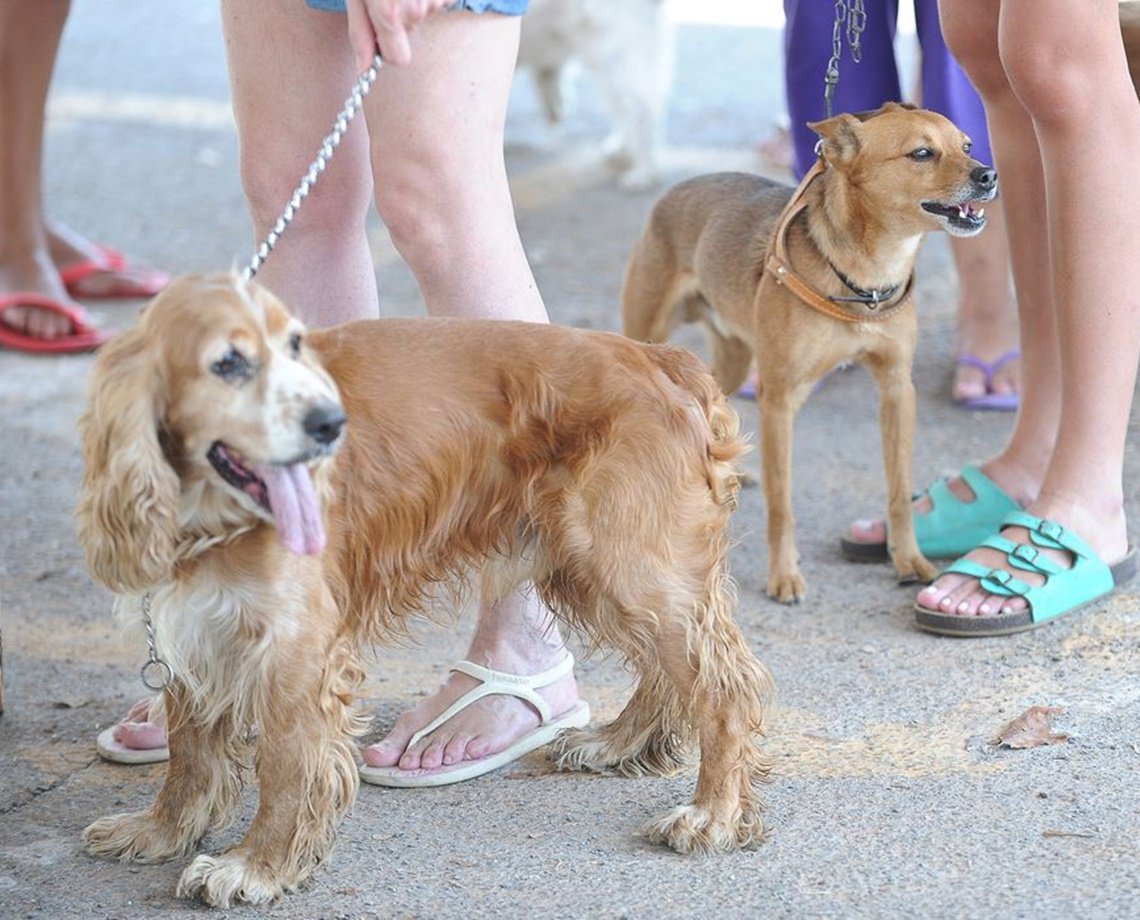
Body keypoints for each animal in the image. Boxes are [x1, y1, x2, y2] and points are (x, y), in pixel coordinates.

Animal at [78, 273, 775, 907]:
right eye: (227, 362)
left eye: (295, 346)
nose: (332, 424)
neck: (209, 513)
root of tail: (660, 358)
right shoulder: (198, 627)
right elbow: (189, 754)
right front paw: (160, 830)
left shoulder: (296, 647)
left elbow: (284, 765)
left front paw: (256, 866)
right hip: (595, 567)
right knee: (670, 671)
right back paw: (617, 743)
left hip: (624, 561)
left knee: (723, 685)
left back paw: (713, 813)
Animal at [624, 102, 998, 606]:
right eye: (921, 153)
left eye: (967, 145)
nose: (989, 174)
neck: (867, 278)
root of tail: (678, 189)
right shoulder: (780, 400)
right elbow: (782, 504)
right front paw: (784, 575)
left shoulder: (897, 389)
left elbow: (899, 491)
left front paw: (908, 559)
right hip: (648, 337)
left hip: (735, 358)